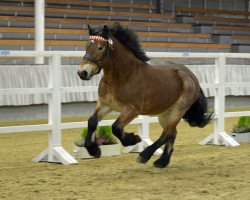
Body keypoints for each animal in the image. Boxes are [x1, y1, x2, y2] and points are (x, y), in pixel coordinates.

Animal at [77, 22, 212, 168]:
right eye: (86, 46)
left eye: (100, 47)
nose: (82, 73)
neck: (122, 77)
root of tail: (190, 75)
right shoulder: (105, 104)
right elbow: (92, 121)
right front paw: (93, 150)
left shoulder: (132, 110)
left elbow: (116, 127)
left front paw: (133, 139)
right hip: (165, 112)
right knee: (172, 133)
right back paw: (162, 161)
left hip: (179, 109)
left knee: (167, 133)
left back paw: (144, 155)